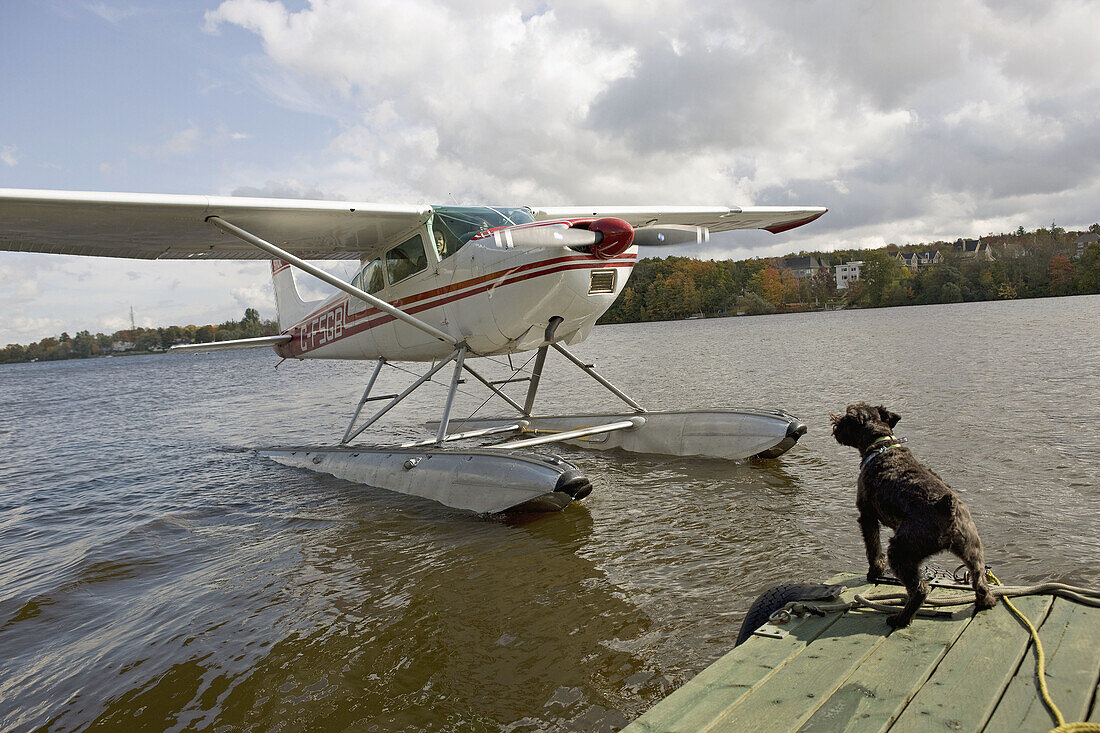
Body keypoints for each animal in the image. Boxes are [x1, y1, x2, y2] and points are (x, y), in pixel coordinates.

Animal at [831, 402, 998, 625]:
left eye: (848, 415)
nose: (835, 424)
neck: (881, 445)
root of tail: (946, 508)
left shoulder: (867, 516)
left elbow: (873, 549)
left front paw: (874, 572)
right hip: (971, 549)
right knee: (979, 580)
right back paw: (986, 601)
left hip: (901, 550)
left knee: (919, 589)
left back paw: (900, 619)